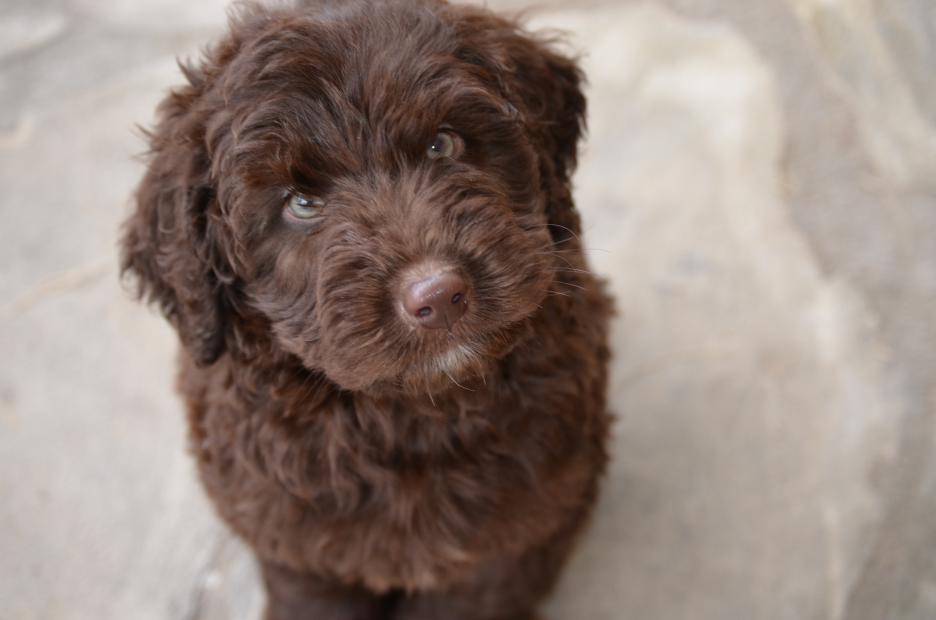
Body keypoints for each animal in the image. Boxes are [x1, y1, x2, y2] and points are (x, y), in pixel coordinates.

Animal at [119, 1, 616, 620]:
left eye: (442, 145)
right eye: (301, 204)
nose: (439, 296)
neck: (409, 415)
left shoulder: (507, 540)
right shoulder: (296, 544)